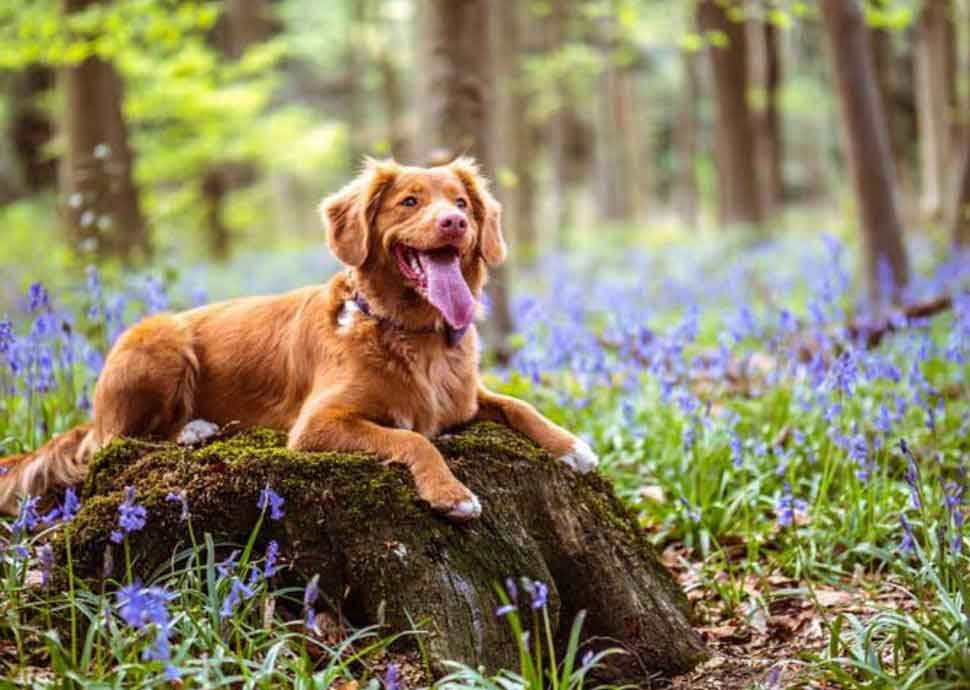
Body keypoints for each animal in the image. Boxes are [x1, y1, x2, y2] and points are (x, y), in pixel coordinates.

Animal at [0, 157, 592, 520]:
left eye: (463, 204)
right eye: (409, 202)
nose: (454, 223)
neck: (411, 333)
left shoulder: (465, 399)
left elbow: (517, 405)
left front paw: (572, 446)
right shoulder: (317, 425)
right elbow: (414, 439)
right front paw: (451, 493)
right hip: (159, 340)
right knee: (114, 440)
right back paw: (193, 429)